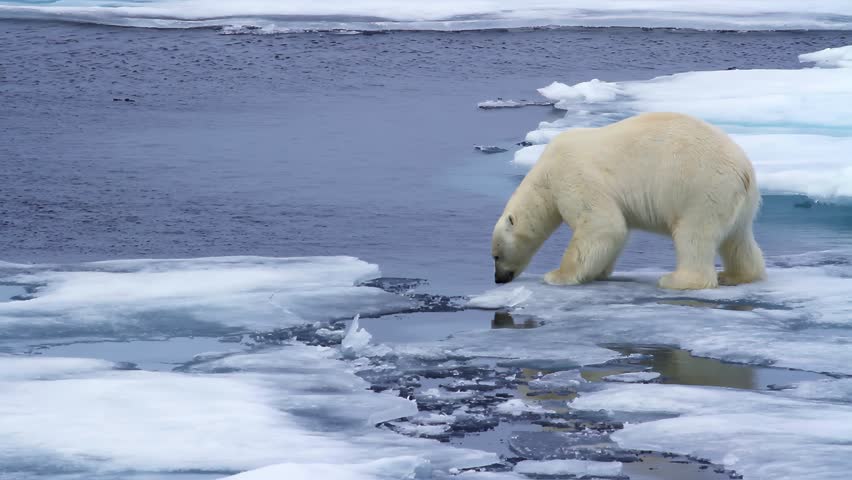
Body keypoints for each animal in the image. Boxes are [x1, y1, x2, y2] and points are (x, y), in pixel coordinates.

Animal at [491, 112, 765, 290]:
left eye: (496, 255)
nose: (498, 278)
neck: (545, 173)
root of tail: (744, 170)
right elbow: (616, 232)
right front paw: (599, 272)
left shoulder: (572, 176)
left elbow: (602, 224)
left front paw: (557, 275)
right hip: (739, 201)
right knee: (738, 239)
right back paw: (736, 275)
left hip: (701, 190)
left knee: (693, 235)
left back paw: (677, 280)